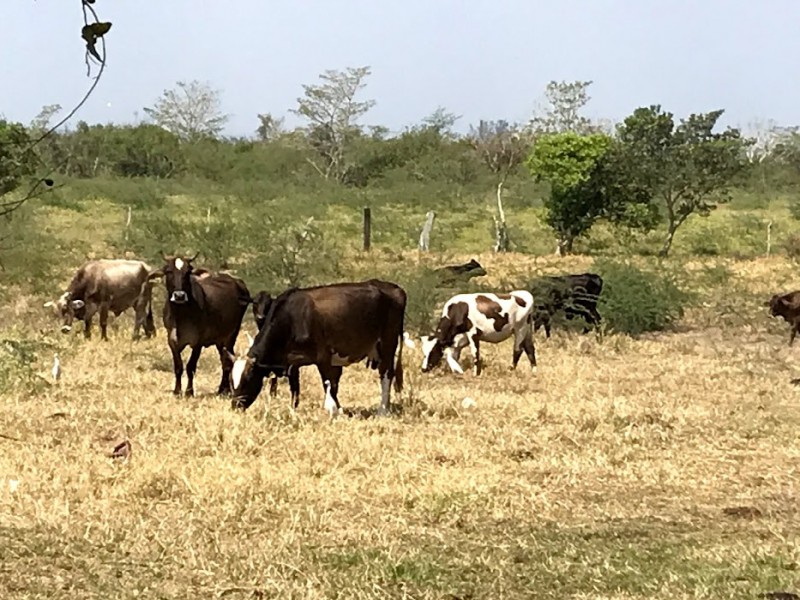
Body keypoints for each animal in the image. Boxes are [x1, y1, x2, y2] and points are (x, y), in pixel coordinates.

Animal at [148, 254, 252, 398]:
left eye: (188, 272)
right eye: (169, 271)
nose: (179, 295)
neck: (180, 315)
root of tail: (237, 281)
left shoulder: (198, 342)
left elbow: (190, 367)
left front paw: (189, 392)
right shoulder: (172, 341)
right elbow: (178, 367)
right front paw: (177, 391)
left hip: (231, 335)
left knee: (227, 362)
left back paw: (224, 390)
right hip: (219, 340)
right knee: (225, 360)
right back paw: (222, 389)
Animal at [228, 278, 410, 414]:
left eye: (248, 379)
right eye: (231, 380)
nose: (235, 406)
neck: (292, 318)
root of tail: (395, 289)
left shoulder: (324, 358)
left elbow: (329, 384)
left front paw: (334, 410)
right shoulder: (291, 362)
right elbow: (296, 389)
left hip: (387, 343)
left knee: (386, 374)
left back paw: (383, 409)